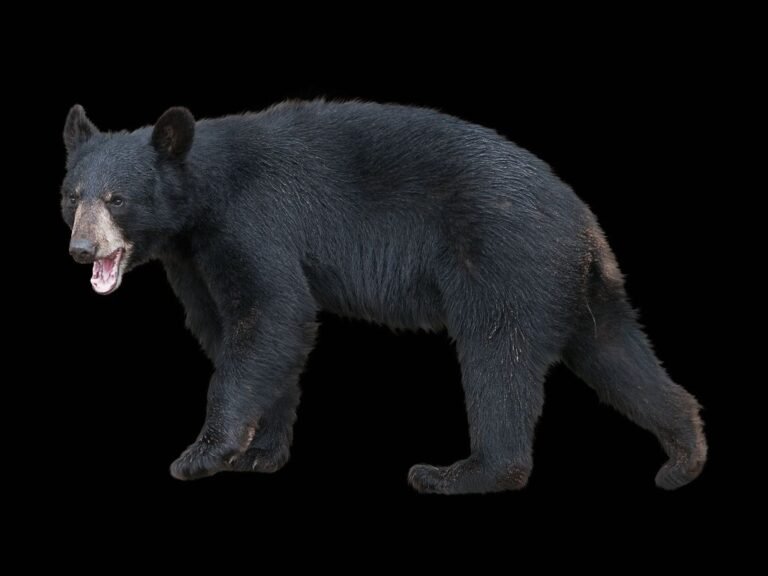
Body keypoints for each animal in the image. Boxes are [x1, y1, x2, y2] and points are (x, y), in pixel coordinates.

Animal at [60, 101, 707, 493]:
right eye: (71, 195)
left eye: (117, 198)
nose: (84, 251)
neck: (200, 195)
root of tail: (586, 227)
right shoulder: (192, 259)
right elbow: (239, 334)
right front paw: (260, 451)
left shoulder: (254, 222)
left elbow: (274, 315)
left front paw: (201, 454)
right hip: (576, 290)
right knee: (617, 356)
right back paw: (684, 453)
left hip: (504, 262)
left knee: (499, 358)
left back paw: (460, 472)